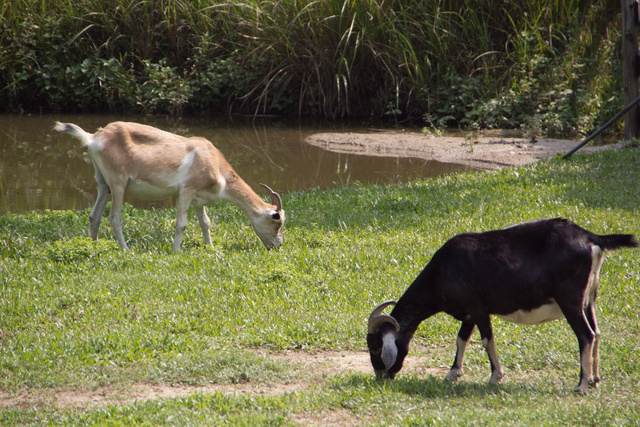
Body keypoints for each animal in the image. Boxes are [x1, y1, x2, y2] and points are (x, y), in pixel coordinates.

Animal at [368, 221, 636, 394]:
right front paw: (452, 374)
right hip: (589, 298)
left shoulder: (477, 306)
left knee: (586, 335)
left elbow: (486, 339)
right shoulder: (469, 313)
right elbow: (461, 339)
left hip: (569, 300)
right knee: (597, 332)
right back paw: (595, 380)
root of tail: (591, 238)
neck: (441, 271)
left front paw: (495, 376)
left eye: (376, 348)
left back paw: (581, 385)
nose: (382, 377)